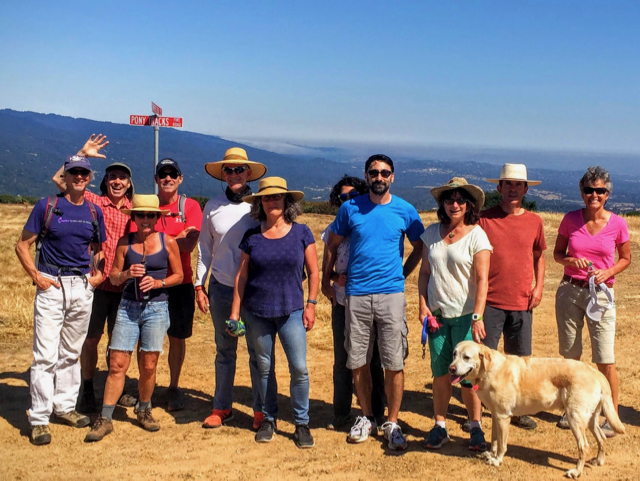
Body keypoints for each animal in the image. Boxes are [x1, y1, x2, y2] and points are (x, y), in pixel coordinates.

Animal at [449, 341, 624, 479]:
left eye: (466, 357)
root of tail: (596, 372)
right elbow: (494, 440)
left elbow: (502, 444)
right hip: (589, 419)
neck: (490, 369)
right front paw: (490, 455)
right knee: (602, 438)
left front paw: (497, 460)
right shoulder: (495, 415)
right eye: (454, 354)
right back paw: (598, 461)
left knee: (584, 447)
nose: (451, 368)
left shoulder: (503, 417)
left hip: (574, 418)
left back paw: (576, 472)